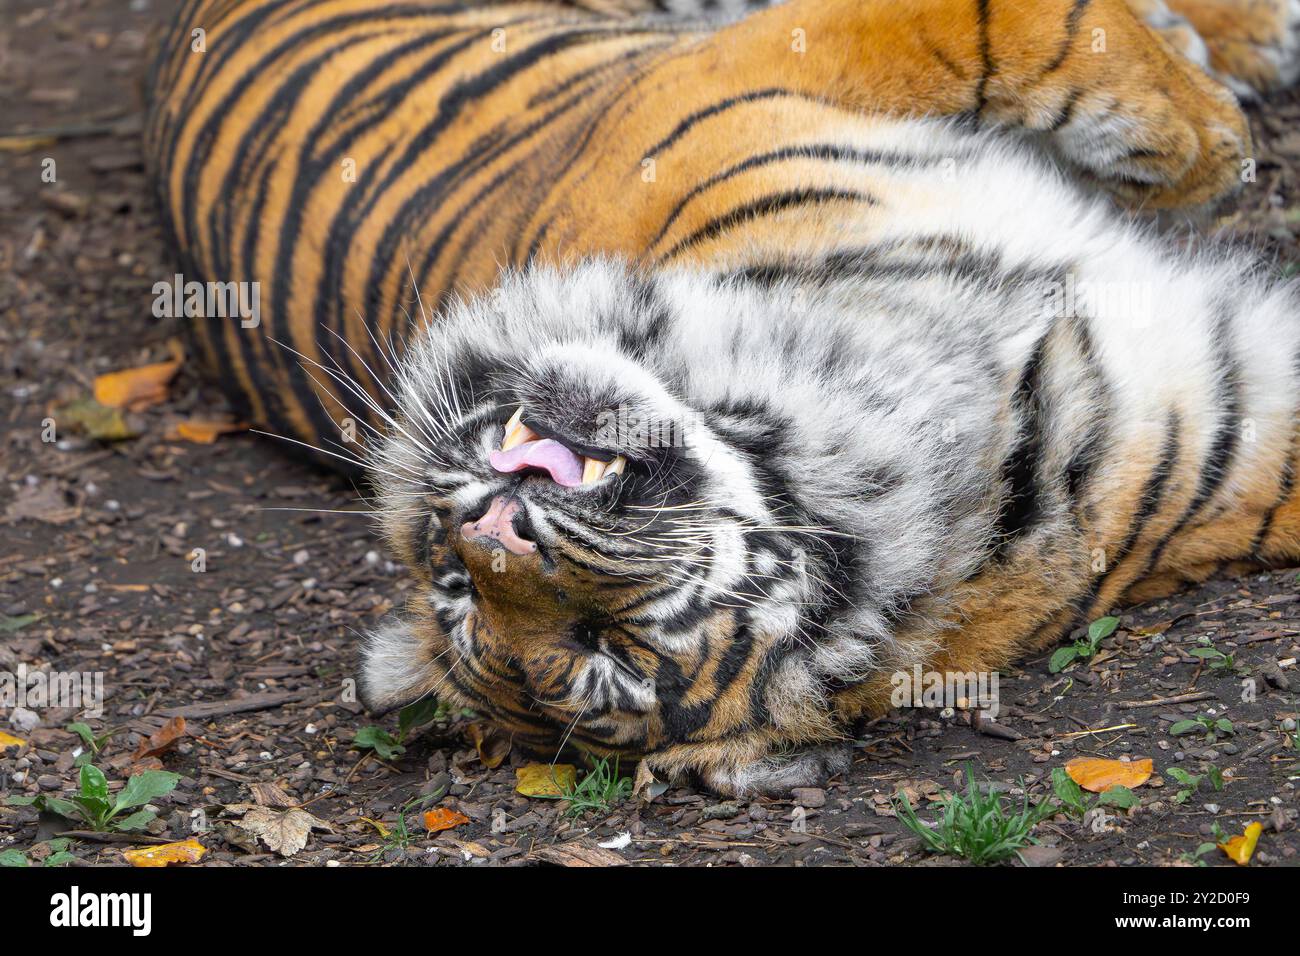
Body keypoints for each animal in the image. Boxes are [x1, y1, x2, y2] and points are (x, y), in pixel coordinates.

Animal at [145, 0, 1300, 794]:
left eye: (450, 577)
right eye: (608, 653)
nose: (494, 527)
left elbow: (1019, 25)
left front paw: (1207, 139)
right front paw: (1212, 138)